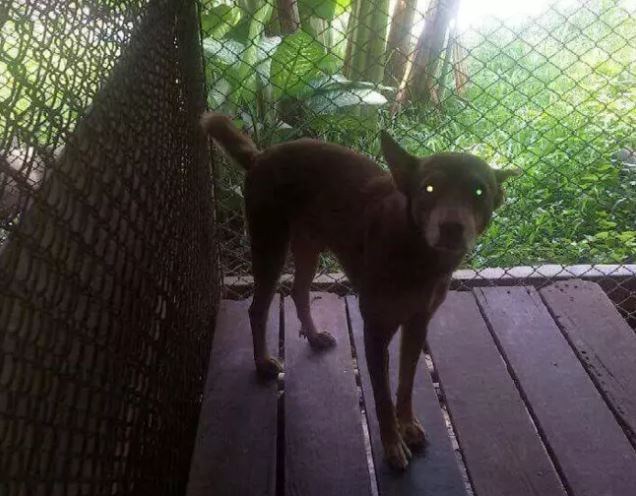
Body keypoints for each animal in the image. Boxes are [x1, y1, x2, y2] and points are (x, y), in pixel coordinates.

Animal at [201, 112, 520, 468]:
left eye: (479, 192)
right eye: (429, 187)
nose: (452, 228)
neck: (415, 252)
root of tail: (260, 157)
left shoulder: (417, 325)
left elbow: (405, 383)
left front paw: (408, 425)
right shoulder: (375, 331)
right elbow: (381, 396)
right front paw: (393, 445)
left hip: (309, 247)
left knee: (299, 292)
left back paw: (314, 336)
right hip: (270, 248)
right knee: (258, 309)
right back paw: (263, 363)